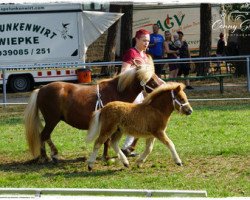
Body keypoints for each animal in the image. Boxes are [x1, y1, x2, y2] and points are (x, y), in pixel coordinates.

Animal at [24, 55, 163, 163]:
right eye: (150, 79)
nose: (162, 87)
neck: (116, 91)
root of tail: (41, 89)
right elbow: (107, 140)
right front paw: (107, 157)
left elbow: (107, 140)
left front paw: (107, 156)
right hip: (52, 120)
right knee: (43, 135)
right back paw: (46, 157)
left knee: (45, 136)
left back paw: (53, 154)